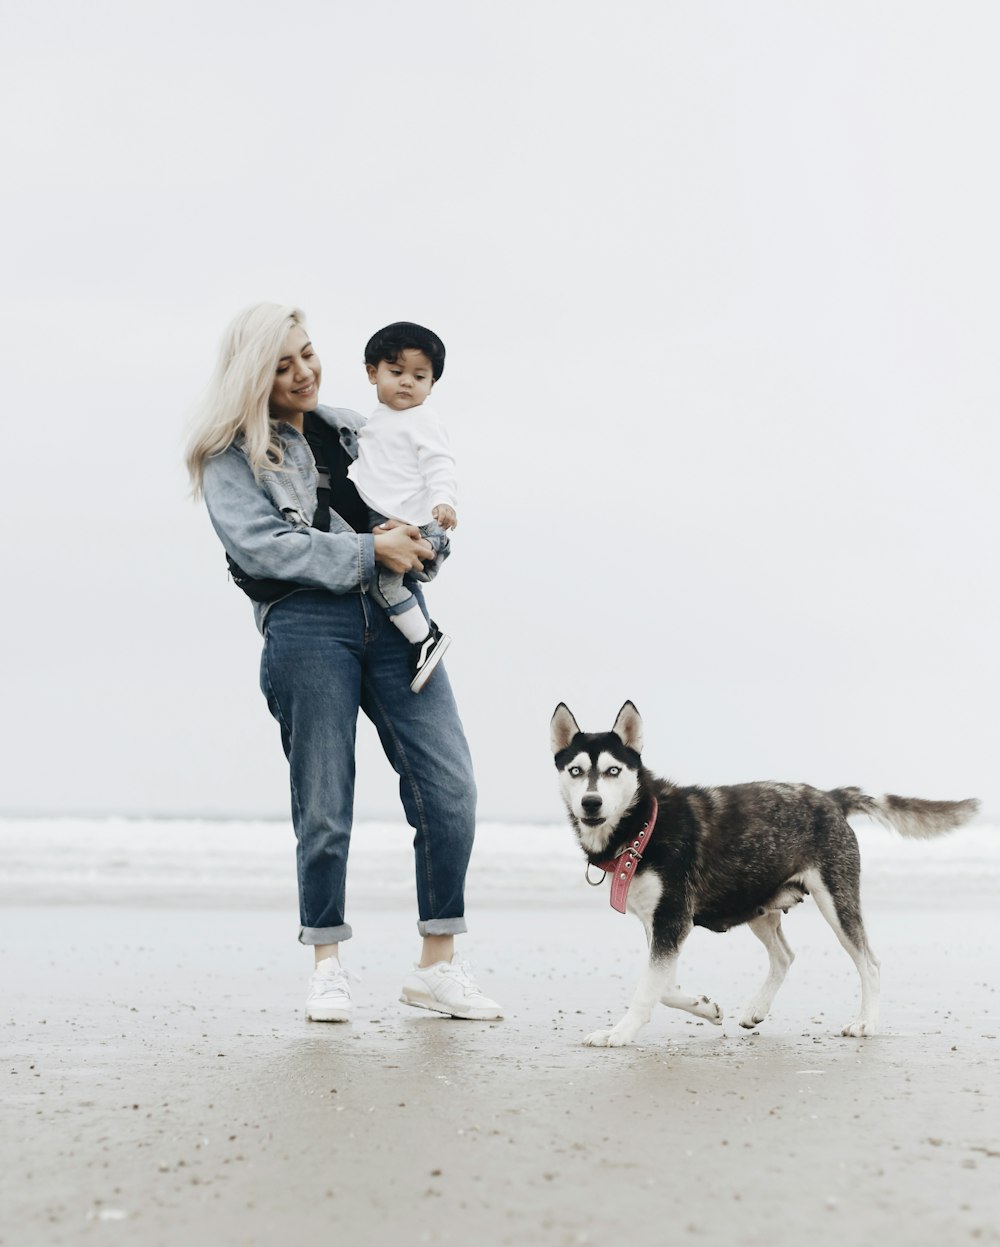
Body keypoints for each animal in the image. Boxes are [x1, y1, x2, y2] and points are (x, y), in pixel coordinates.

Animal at [546, 703, 972, 1042]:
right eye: (576, 770)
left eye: (613, 770)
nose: (591, 802)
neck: (642, 825)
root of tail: (830, 797)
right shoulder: (661, 923)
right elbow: (663, 985)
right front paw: (705, 1006)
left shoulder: (671, 920)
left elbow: (648, 989)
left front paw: (618, 1033)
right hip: (756, 901)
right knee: (784, 956)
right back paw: (756, 1009)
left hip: (835, 900)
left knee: (869, 962)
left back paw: (865, 1022)